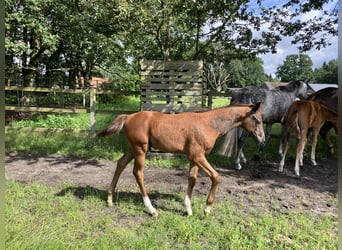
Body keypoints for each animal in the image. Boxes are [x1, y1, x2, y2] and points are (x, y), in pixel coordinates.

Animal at [97, 103, 266, 217]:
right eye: (257, 119)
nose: (262, 140)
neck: (209, 123)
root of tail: (129, 116)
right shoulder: (198, 156)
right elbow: (216, 176)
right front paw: (207, 208)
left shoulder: (194, 157)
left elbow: (192, 179)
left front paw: (189, 209)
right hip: (140, 150)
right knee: (138, 173)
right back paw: (151, 209)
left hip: (132, 148)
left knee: (120, 164)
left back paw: (110, 199)